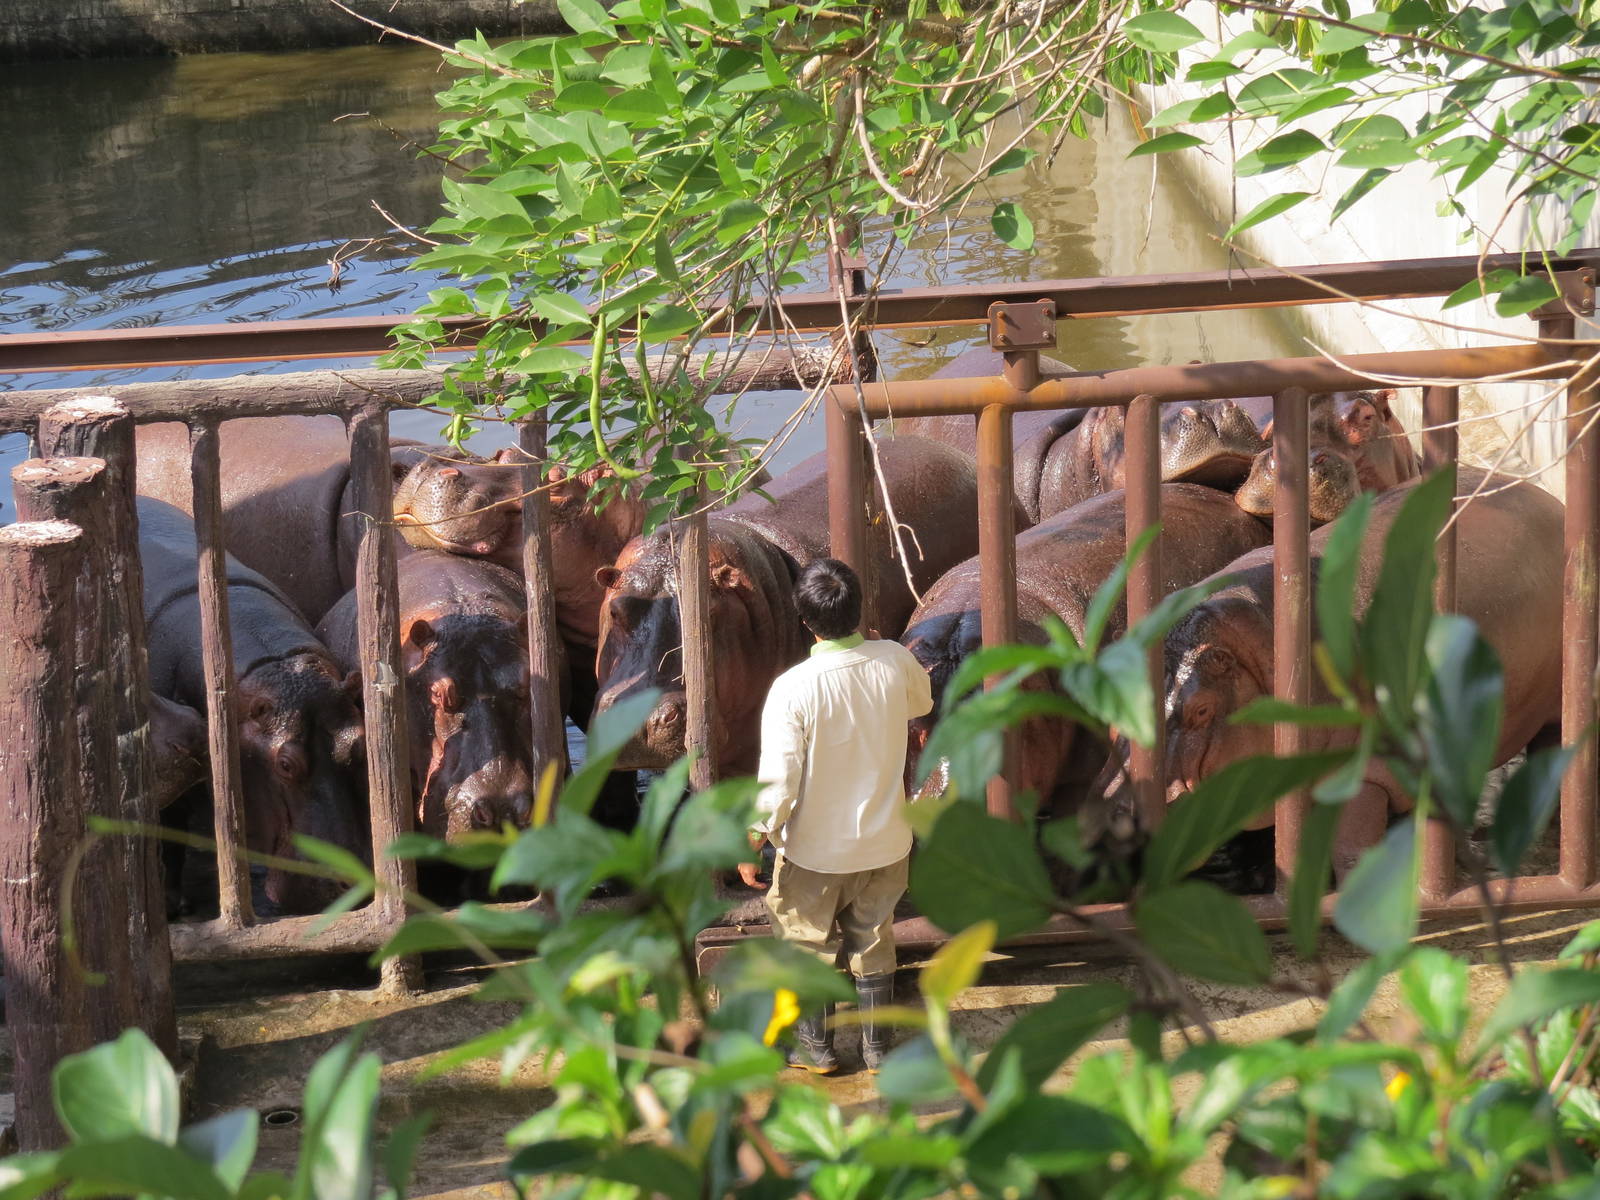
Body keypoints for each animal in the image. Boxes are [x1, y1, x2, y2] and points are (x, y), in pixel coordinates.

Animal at [138, 497, 369, 912]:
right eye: (285, 764)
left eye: (358, 745)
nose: (352, 882)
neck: (276, 665)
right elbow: (170, 828)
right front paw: (173, 904)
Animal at [1109, 467, 1562, 872]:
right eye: (1112, 719)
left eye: (1201, 709)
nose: (1119, 816)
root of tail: (1545, 496)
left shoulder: (1365, 775)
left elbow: (1350, 852)